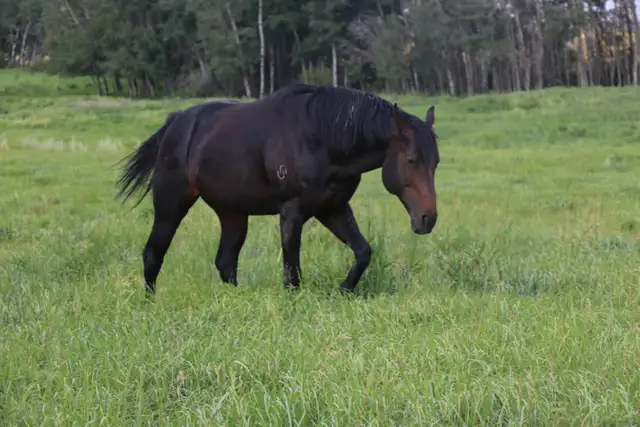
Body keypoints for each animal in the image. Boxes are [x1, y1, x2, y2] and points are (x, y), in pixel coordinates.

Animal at [116, 83, 440, 296]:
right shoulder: (292, 211)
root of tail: (175, 123)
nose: (428, 219)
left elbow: (363, 251)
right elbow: (291, 268)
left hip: (232, 213)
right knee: (153, 254)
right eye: (412, 159)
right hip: (170, 205)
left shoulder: (333, 208)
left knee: (225, 261)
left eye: (436, 161)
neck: (321, 137)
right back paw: (149, 301)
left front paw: (344, 289)